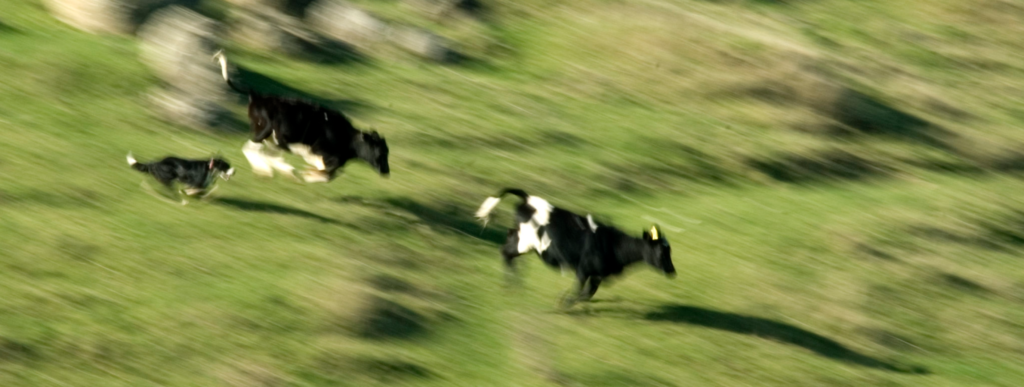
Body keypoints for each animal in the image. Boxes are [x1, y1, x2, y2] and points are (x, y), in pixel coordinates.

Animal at [214, 49, 389, 183]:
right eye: (380, 151)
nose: (386, 171)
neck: (346, 139)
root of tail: (257, 96)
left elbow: (330, 173)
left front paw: (304, 173)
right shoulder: (324, 154)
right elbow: (328, 174)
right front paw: (306, 175)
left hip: (271, 137)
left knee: (262, 151)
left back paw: (275, 170)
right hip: (264, 130)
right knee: (250, 148)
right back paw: (277, 170)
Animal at [475, 189, 675, 307]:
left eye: (669, 251)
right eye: (661, 252)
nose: (672, 271)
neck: (613, 244)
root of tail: (528, 198)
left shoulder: (598, 274)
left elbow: (587, 293)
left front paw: (567, 302)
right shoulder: (583, 269)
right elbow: (580, 290)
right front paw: (564, 302)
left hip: (521, 238)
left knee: (506, 249)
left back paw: (513, 286)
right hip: (526, 241)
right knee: (505, 252)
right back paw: (513, 286)